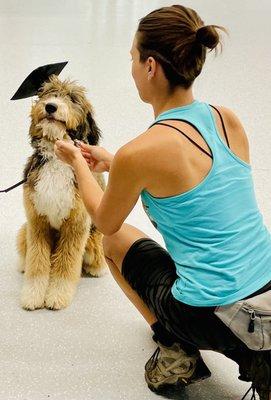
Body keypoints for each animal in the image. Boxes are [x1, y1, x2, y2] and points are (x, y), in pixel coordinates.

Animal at [15, 76, 107, 312]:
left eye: (73, 99)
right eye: (48, 93)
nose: (50, 107)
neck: (56, 160)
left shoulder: (76, 225)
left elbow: (66, 263)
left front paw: (57, 295)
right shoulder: (37, 221)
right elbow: (37, 262)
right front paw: (33, 295)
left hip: (93, 239)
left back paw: (98, 268)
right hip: (24, 230)